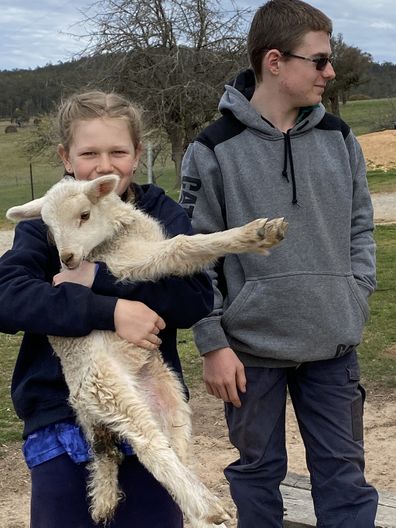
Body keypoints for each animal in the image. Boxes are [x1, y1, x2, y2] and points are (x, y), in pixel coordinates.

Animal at [6, 174, 288, 528]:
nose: (67, 259)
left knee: (135, 449)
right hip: (105, 386)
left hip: (167, 396)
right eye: (49, 228)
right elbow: (182, 246)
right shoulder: (128, 263)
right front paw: (258, 233)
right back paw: (207, 505)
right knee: (149, 446)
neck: (117, 236)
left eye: (84, 215)